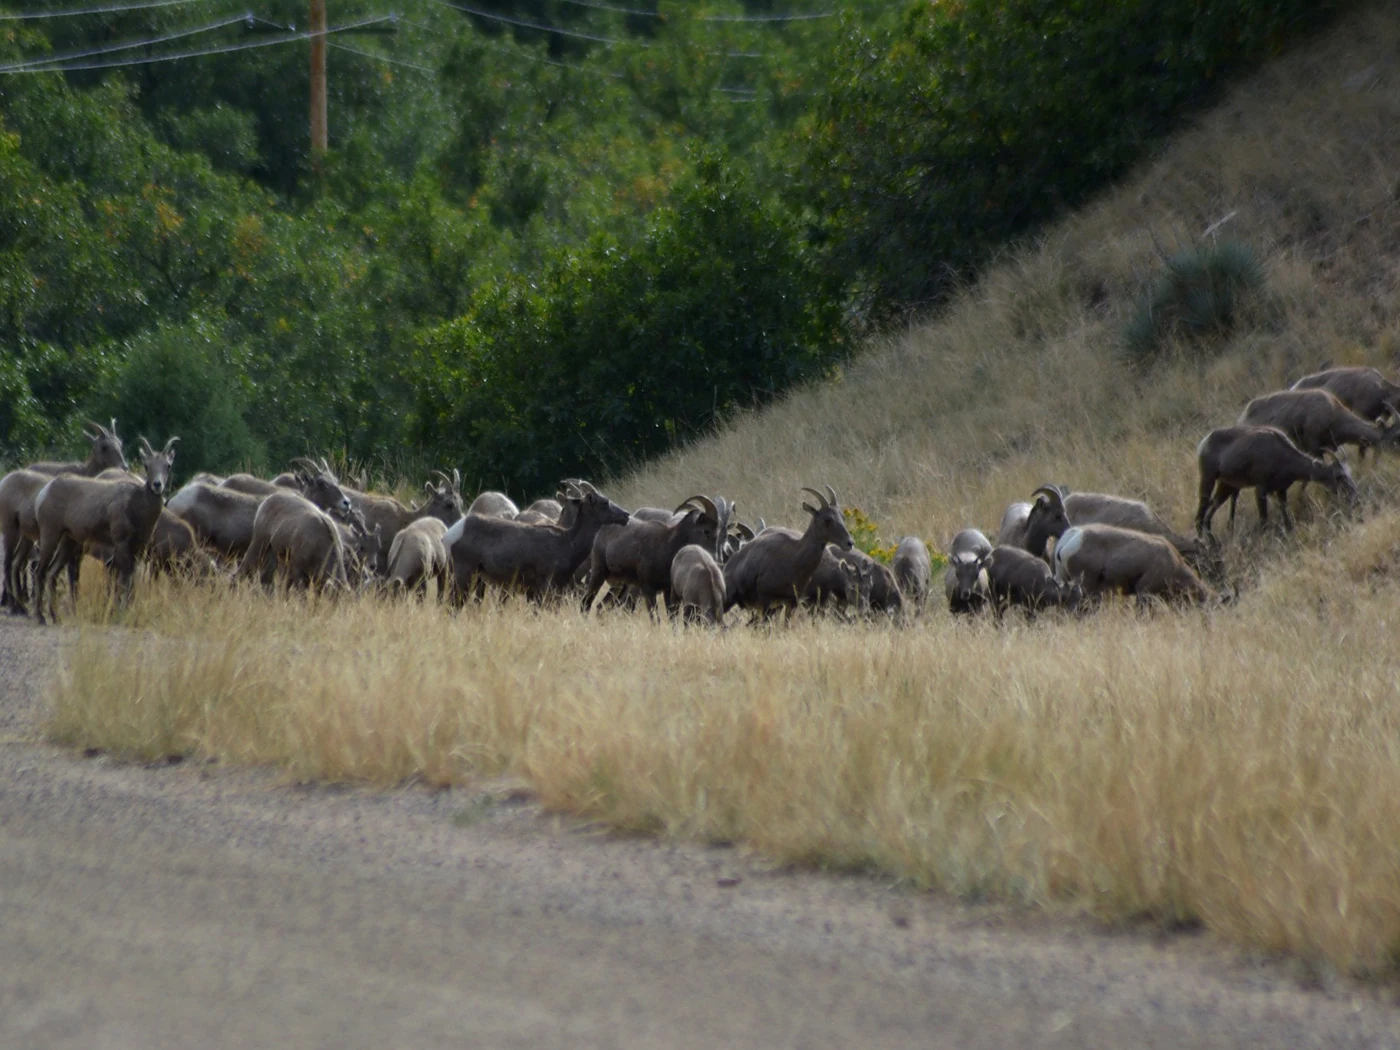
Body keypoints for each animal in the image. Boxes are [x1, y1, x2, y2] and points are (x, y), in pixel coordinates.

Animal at [31, 436, 180, 624]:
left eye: (168, 465)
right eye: (147, 465)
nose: (157, 485)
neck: (137, 505)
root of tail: (45, 491)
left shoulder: (138, 549)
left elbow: (132, 581)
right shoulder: (121, 544)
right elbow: (124, 581)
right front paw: (121, 614)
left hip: (68, 541)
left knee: (52, 573)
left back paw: (55, 617)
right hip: (50, 536)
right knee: (40, 572)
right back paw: (40, 617)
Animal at [447, 481, 631, 600]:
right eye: (605, 502)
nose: (626, 515)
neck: (567, 543)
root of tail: (451, 534)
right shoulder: (543, 585)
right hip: (465, 574)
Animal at [584, 495, 724, 617]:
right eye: (706, 531)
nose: (716, 559)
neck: (668, 546)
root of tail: (602, 530)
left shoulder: (667, 591)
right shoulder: (649, 590)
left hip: (620, 586)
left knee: (600, 607)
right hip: (599, 574)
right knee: (586, 602)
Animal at [723, 486, 855, 618]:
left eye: (842, 517)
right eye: (827, 519)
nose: (849, 543)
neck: (794, 556)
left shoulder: (791, 603)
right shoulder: (766, 601)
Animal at [1195, 425, 1358, 534]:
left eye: (1349, 473)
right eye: (1339, 477)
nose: (1355, 495)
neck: (1282, 456)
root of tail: (1204, 442)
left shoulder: (1281, 491)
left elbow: (1286, 516)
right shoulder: (1260, 491)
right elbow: (1263, 520)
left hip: (1226, 486)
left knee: (1209, 515)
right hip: (1208, 480)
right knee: (1200, 516)